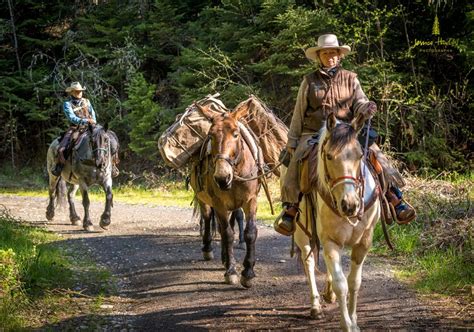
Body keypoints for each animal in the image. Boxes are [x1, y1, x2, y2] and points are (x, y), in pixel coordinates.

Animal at [189, 104, 260, 288]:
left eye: (236, 134)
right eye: (211, 136)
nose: (222, 177)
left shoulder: (251, 200)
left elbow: (250, 232)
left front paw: (248, 272)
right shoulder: (219, 203)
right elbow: (227, 234)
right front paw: (231, 271)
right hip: (204, 199)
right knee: (209, 219)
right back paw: (209, 250)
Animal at [292, 113, 382, 330]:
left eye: (359, 155)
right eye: (329, 156)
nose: (350, 205)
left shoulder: (364, 242)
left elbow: (354, 282)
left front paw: (354, 321)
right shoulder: (330, 241)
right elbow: (342, 284)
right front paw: (347, 324)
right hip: (301, 233)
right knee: (309, 262)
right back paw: (316, 306)